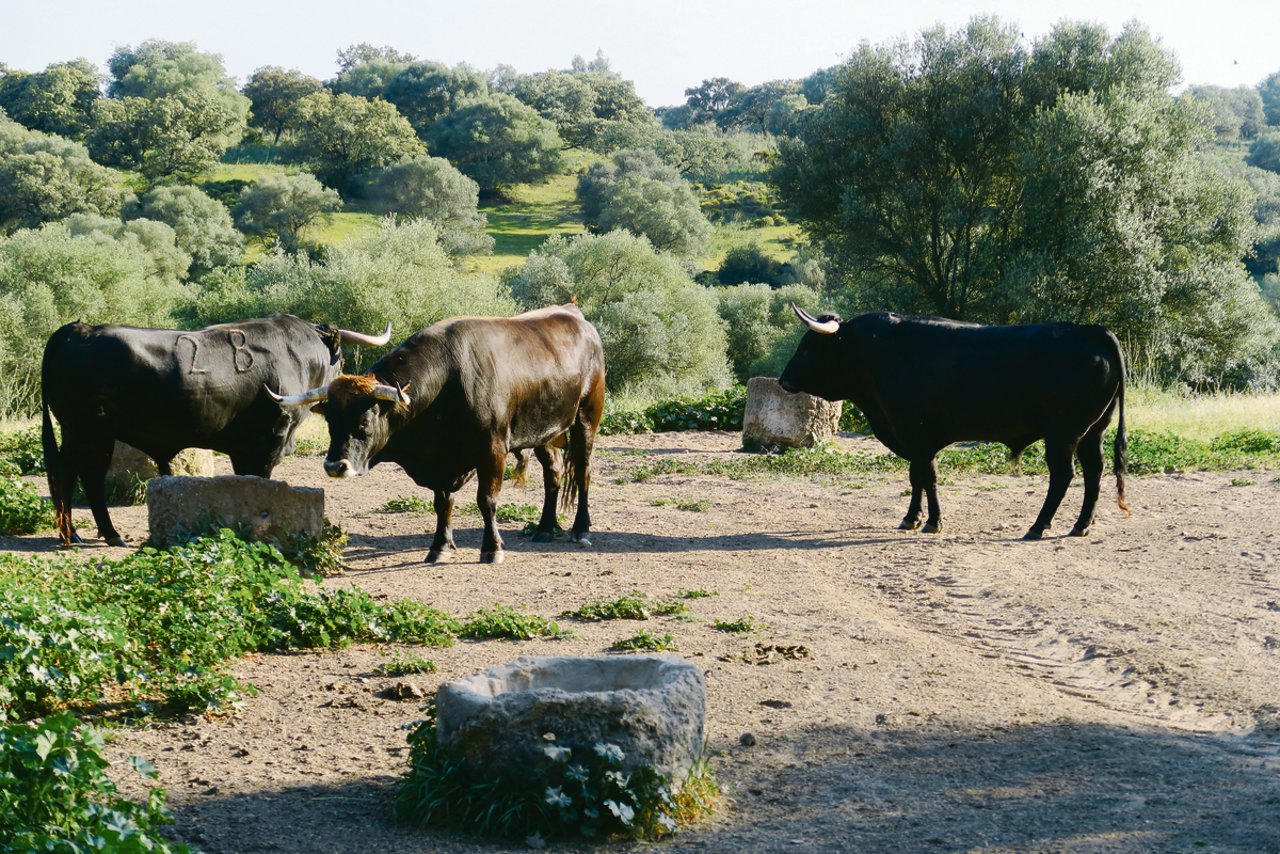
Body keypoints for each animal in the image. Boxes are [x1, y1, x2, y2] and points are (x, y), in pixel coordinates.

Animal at [41, 316, 389, 547]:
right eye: (340, 359)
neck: (296, 354)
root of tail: (79, 329)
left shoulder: (243, 448)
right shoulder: (269, 440)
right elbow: (260, 480)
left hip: (79, 433)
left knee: (68, 474)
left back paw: (74, 533)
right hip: (90, 433)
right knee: (86, 476)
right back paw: (108, 535)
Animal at [268, 303, 604, 563]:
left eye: (364, 422)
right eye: (330, 423)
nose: (334, 466)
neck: (449, 382)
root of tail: (574, 314)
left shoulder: (492, 451)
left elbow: (487, 500)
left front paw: (491, 548)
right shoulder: (441, 462)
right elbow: (442, 503)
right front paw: (439, 546)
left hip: (587, 418)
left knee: (583, 471)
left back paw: (580, 529)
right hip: (545, 432)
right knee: (553, 473)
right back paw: (545, 527)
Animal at [778, 303, 1131, 537]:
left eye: (808, 347)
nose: (783, 380)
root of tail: (1092, 331)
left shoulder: (917, 434)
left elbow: (927, 476)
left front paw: (932, 521)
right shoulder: (913, 437)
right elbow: (916, 477)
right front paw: (912, 518)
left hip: (1063, 432)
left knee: (1063, 475)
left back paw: (1038, 526)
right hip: (1092, 432)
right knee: (1094, 472)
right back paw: (1081, 525)